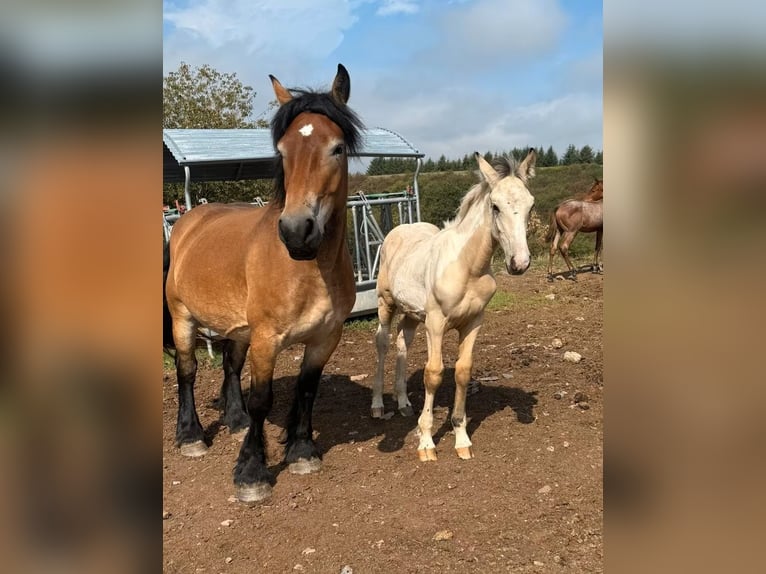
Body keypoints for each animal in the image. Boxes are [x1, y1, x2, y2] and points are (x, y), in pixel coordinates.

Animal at [164, 64, 362, 503]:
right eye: (283, 151)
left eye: (337, 148)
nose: (296, 231)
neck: (307, 271)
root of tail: (189, 220)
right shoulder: (267, 338)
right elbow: (261, 400)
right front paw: (251, 472)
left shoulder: (326, 337)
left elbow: (307, 388)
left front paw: (302, 450)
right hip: (183, 319)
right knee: (187, 371)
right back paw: (191, 437)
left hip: (238, 329)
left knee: (230, 366)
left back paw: (233, 419)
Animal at [371, 150, 537, 461]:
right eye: (495, 206)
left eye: (530, 205)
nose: (519, 263)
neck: (468, 267)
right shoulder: (436, 324)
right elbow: (433, 374)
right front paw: (426, 443)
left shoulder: (473, 322)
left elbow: (463, 371)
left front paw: (461, 438)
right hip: (386, 303)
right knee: (383, 343)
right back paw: (377, 405)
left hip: (412, 314)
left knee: (402, 343)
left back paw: (403, 404)